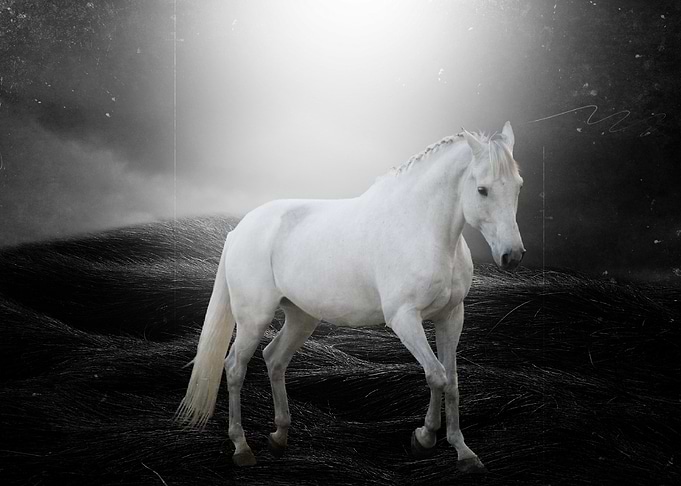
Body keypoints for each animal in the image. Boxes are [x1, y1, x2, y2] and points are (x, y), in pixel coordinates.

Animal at [176, 122, 526, 474]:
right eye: (482, 190)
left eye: (518, 186)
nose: (512, 256)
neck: (420, 228)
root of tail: (240, 229)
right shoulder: (404, 319)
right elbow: (436, 375)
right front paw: (423, 438)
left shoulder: (451, 317)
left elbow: (452, 381)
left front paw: (463, 452)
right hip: (253, 319)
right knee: (235, 367)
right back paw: (242, 447)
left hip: (302, 317)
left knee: (274, 358)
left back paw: (280, 437)